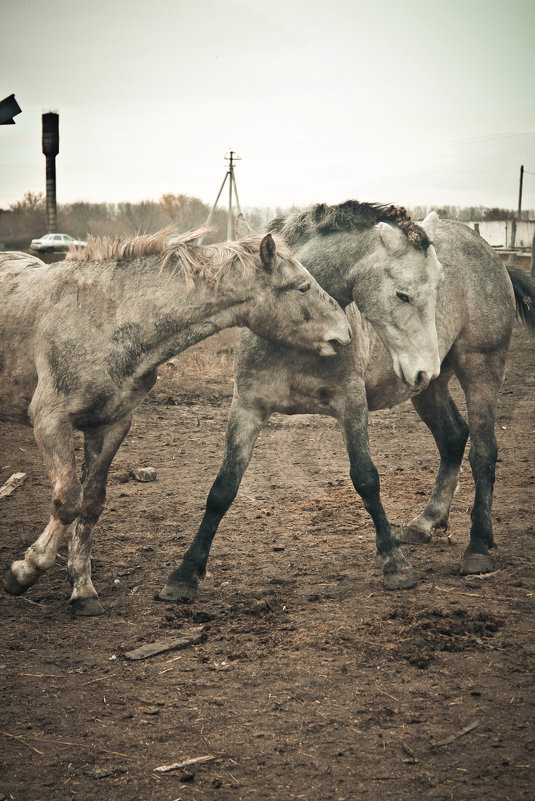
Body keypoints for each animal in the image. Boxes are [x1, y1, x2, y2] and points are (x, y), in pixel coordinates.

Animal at [1, 228, 352, 616]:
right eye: (302, 287)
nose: (345, 332)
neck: (106, 318)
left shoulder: (111, 425)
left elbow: (91, 503)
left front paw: (83, 589)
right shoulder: (50, 421)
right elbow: (67, 500)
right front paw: (24, 571)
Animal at [158, 202, 452, 600]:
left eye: (439, 286)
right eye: (402, 295)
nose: (426, 370)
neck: (294, 342)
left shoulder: (352, 404)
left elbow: (366, 479)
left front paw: (395, 562)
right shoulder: (246, 408)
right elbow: (223, 488)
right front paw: (186, 572)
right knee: (456, 438)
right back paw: (431, 523)